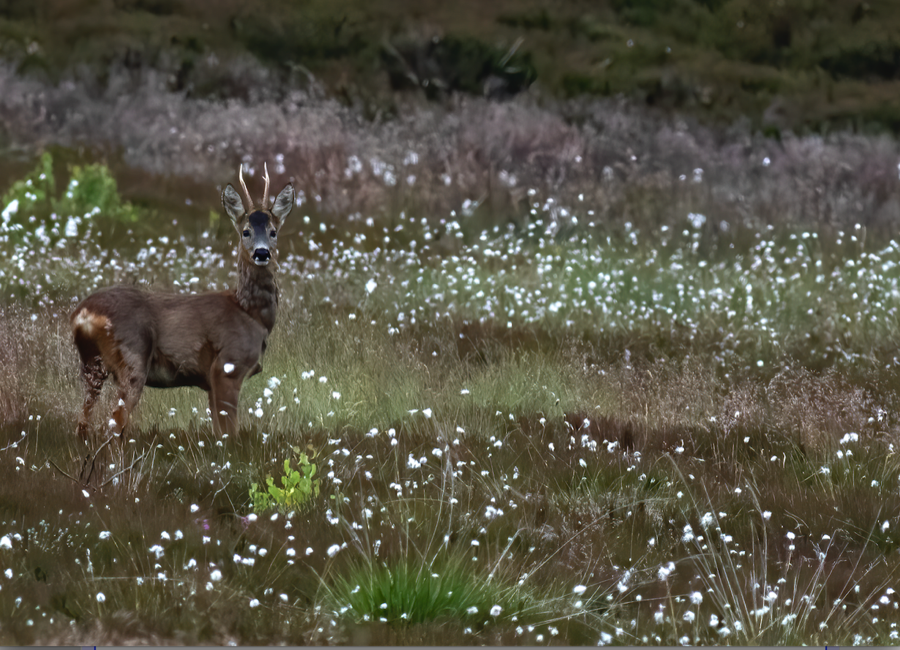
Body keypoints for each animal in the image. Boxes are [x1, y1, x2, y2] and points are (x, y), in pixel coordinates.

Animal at [71, 164, 294, 441]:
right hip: (133, 358)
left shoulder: (211, 381)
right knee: (114, 422)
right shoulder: (227, 366)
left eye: (273, 232)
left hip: (91, 364)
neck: (249, 313)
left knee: (83, 419)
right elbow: (229, 434)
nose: (262, 253)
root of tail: (83, 314)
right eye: (246, 232)